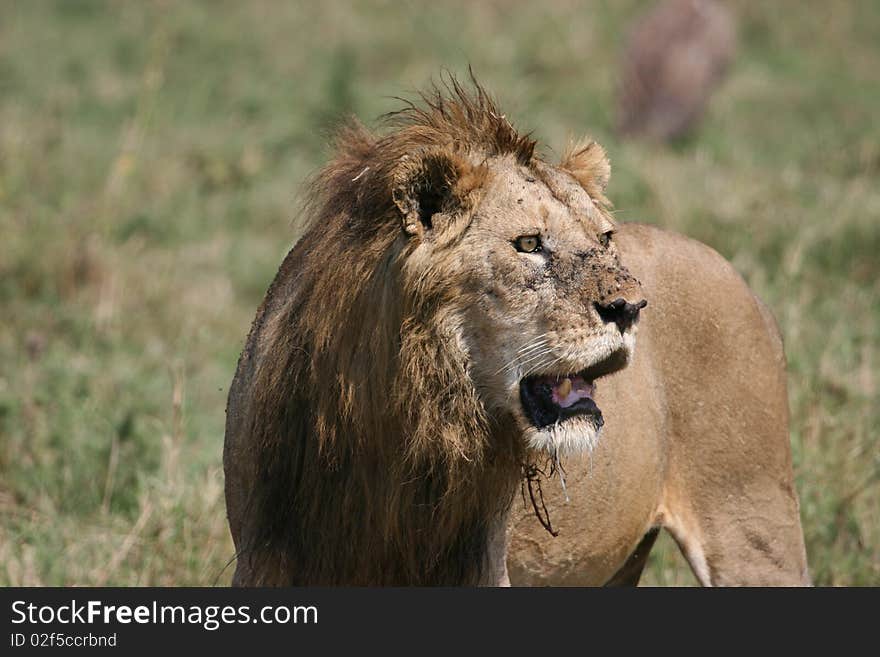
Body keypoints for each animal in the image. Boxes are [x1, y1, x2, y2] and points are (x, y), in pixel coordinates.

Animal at [223, 77, 808, 584]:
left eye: (605, 238)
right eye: (529, 244)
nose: (631, 307)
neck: (392, 427)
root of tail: (734, 272)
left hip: (752, 524)